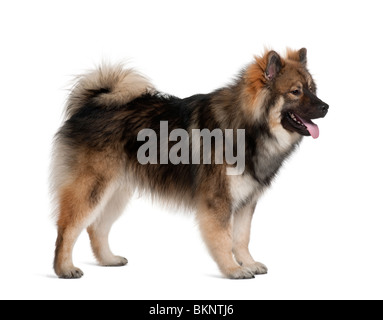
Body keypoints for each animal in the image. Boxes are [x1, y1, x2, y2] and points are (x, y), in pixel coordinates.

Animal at [51, 47, 330, 278]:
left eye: (313, 89)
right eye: (296, 92)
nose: (326, 107)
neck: (247, 127)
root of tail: (90, 105)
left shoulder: (245, 201)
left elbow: (241, 238)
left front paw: (248, 263)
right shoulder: (218, 200)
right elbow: (224, 238)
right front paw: (232, 269)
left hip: (116, 192)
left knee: (96, 228)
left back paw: (109, 260)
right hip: (91, 188)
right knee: (67, 229)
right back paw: (64, 269)